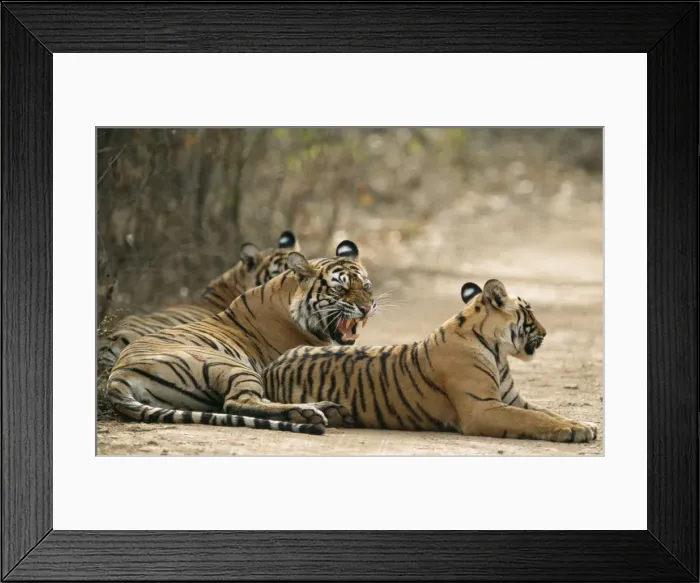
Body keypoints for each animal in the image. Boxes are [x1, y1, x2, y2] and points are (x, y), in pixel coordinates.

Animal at [263, 278, 598, 443]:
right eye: (529, 313)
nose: (546, 332)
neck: (498, 352)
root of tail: (272, 366)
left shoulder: (512, 400)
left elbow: (548, 413)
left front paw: (582, 424)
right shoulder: (483, 408)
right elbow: (533, 419)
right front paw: (574, 431)